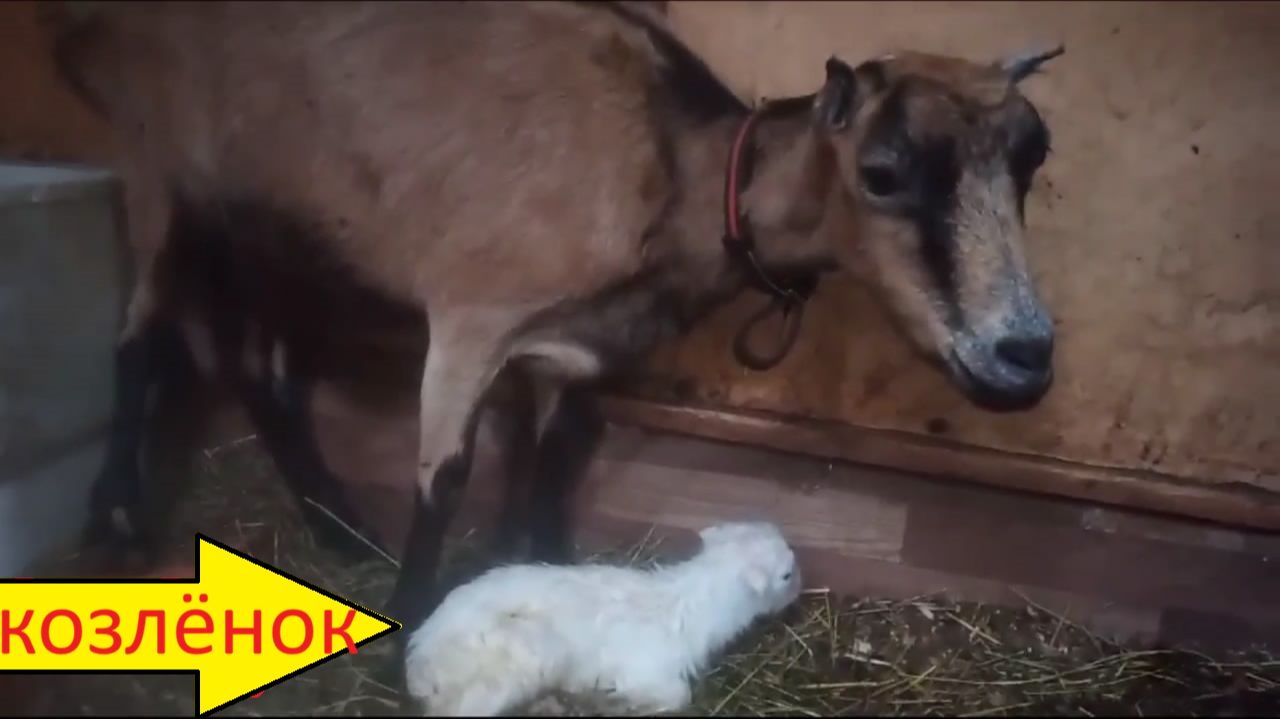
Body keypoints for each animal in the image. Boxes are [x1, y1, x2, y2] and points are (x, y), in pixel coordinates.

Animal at [44, 1, 1063, 655]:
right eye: (883, 172)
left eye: (1031, 156)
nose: (1026, 355)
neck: (674, 170)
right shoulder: (470, 316)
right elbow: (445, 476)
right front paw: (409, 619)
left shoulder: (578, 351)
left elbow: (557, 456)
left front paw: (541, 573)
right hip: (159, 171)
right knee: (138, 340)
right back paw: (120, 516)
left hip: (279, 236)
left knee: (263, 369)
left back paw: (337, 530)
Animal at [403, 520, 802, 717]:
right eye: (786, 575)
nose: (799, 592)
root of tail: (420, 662)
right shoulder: (646, 670)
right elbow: (679, 697)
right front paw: (614, 703)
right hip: (522, 654)